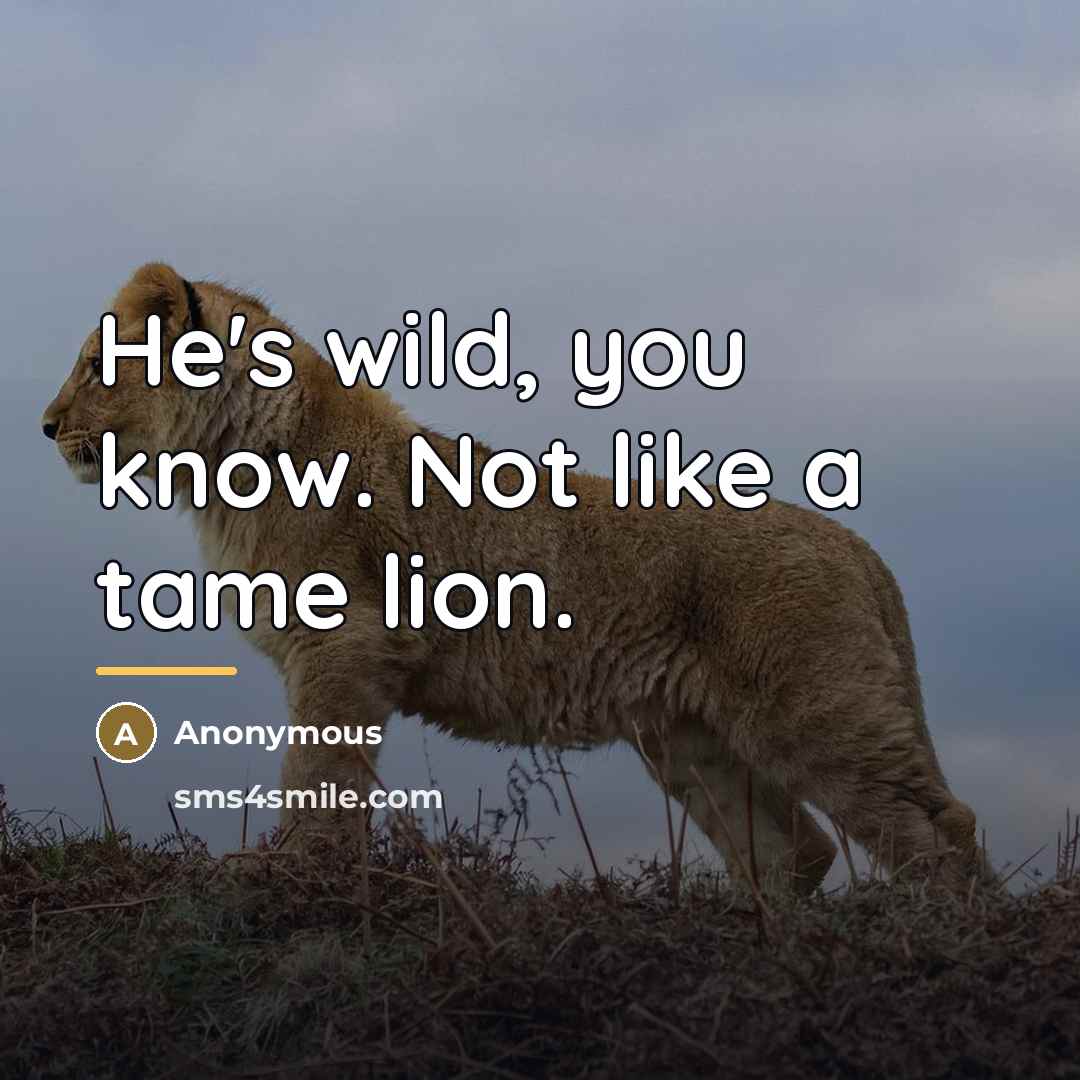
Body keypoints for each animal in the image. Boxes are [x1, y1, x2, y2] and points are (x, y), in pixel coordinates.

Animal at [42, 262, 985, 893]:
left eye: (98, 366)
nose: (46, 424)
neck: (222, 469)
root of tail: (856, 545)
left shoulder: (342, 647)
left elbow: (317, 770)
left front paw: (293, 873)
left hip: (814, 710)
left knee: (939, 828)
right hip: (689, 740)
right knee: (798, 849)